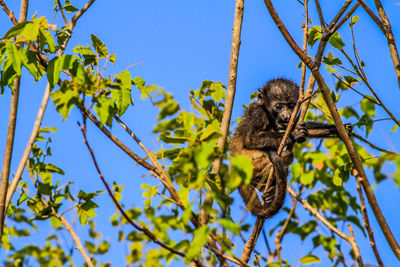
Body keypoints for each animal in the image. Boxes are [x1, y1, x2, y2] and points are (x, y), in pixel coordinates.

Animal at [230, 78, 346, 220]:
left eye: (291, 105)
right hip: (254, 165)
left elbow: (304, 127)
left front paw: (337, 130)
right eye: (278, 106)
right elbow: (250, 139)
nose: (286, 115)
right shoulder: (258, 112)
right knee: (286, 156)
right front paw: (294, 134)